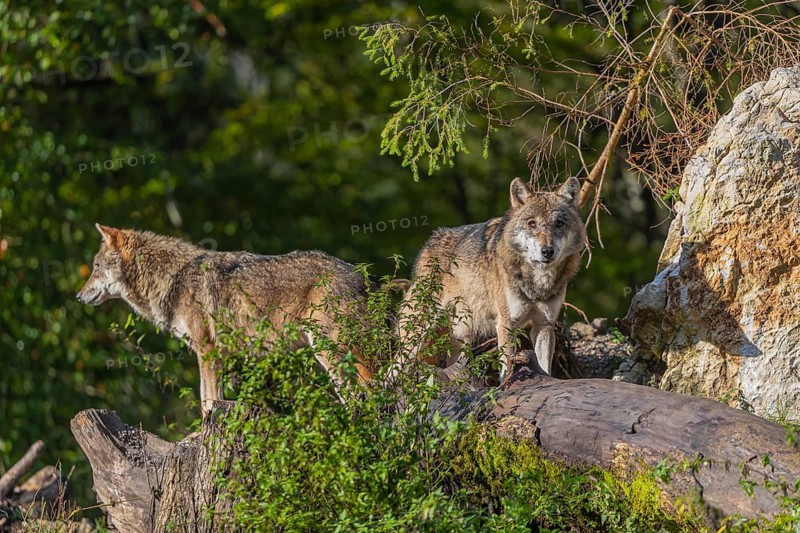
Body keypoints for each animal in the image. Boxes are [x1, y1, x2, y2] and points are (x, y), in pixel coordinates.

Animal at [77, 224, 371, 413]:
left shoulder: (207, 349)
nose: (78, 296)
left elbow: (208, 400)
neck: (174, 278)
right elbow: (209, 397)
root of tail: (360, 275)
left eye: (96, 267)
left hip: (330, 351)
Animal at [398, 177, 585, 378]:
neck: (537, 282)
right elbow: (506, 368)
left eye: (559, 223)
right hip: (414, 340)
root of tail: (428, 245)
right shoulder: (506, 325)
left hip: (460, 339)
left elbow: (545, 369)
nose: (547, 251)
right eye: (532, 224)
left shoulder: (544, 325)